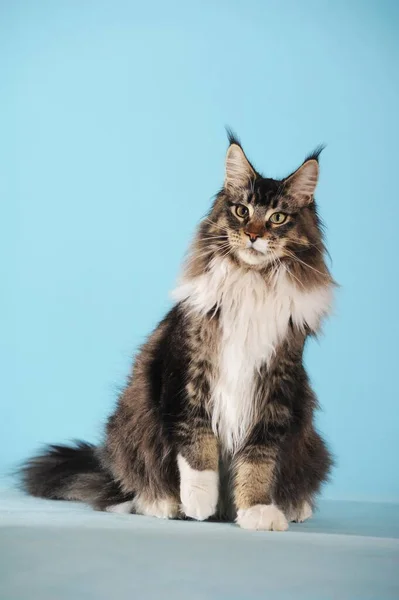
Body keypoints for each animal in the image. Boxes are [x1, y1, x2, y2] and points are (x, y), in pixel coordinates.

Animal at [21, 131, 334, 528]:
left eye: (277, 218)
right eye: (242, 211)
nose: (252, 235)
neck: (252, 282)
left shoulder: (276, 388)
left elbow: (259, 461)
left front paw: (257, 510)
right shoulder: (187, 374)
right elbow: (196, 446)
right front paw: (199, 503)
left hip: (307, 437)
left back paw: (292, 507)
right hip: (128, 431)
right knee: (130, 489)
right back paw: (164, 504)